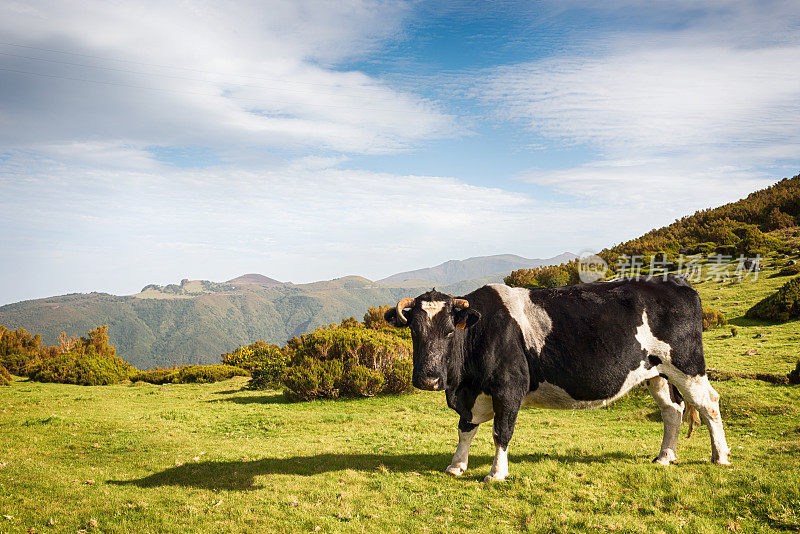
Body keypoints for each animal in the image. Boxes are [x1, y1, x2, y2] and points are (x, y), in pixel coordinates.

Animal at [388, 278, 732, 484]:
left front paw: (496, 474)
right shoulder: (473, 395)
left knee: (709, 404)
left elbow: (501, 432)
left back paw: (720, 457)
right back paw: (664, 457)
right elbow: (465, 428)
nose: (429, 378)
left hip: (687, 365)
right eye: (414, 331)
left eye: (449, 331)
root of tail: (676, 282)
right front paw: (457, 466)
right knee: (672, 410)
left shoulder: (509, 387)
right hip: (657, 373)